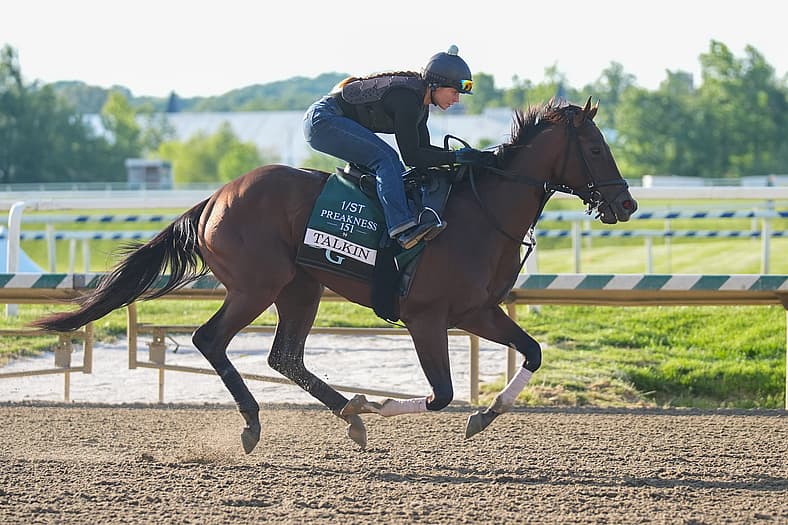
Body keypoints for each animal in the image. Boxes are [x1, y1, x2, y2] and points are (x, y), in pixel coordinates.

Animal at [31, 97, 637, 453]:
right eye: (595, 146)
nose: (626, 204)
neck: (479, 213)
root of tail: (215, 198)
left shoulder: (477, 311)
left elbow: (531, 352)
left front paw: (486, 415)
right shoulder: (425, 317)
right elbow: (440, 393)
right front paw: (385, 404)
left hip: (301, 288)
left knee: (284, 356)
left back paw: (347, 411)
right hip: (257, 285)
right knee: (211, 340)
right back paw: (259, 422)